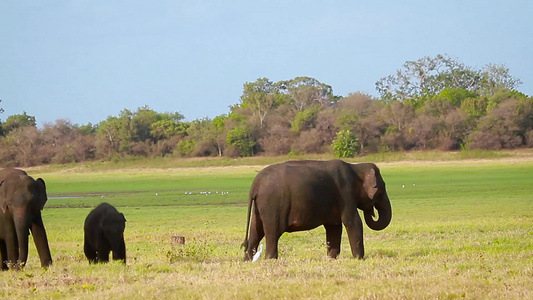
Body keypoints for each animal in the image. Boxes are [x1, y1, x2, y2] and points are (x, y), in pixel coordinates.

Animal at [242, 159, 390, 260]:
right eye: (382, 189)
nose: (372, 211)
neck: (355, 166)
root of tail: (255, 184)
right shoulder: (345, 195)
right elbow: (353, 222)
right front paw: (359, 258)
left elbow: (334, 227)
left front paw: (331, 258)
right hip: (272, 205)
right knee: (273, 232)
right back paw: (271, 259)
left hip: (260, 206)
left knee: (256, 230)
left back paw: (247, 260)